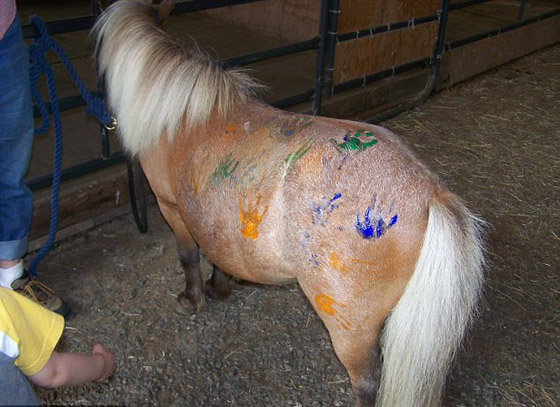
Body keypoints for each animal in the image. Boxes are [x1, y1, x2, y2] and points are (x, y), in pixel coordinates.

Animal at [93, 1, 485, 406]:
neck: (183, 114)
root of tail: (429, 193)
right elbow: (219, 253)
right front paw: (219, 287)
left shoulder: (171, 207)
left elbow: (188, 257)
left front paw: (192, 299)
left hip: (351, 330)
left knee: (366, 383)